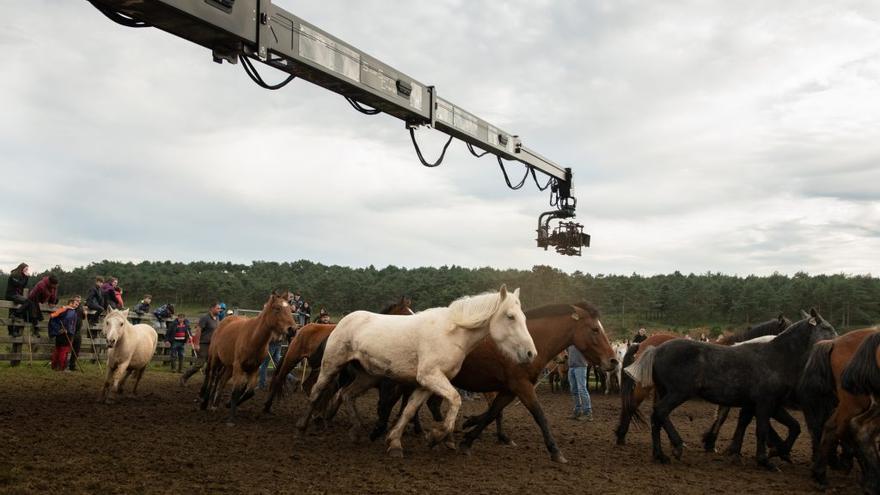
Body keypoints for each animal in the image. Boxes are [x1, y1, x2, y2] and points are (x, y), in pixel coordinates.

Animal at [199, 292, 296, 424]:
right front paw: (231, 419)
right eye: (277, 308)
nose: (293, 329)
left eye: (290, 309)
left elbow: (249, 392)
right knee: (211, 376)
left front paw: (229, 404)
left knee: (221, 380)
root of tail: (223, 322)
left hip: (229, 367)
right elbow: (235, 391)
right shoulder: (239, 366)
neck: (252, 338)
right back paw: (204, 402)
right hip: (215, 359)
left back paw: (215, 404)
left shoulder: (253, 369)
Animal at [298, 284, 536, 460]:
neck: (452, 334)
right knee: (316, 392)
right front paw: (437, 436)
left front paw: (395, 443)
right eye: (510, 316)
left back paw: (356, 431)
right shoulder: (430, 377)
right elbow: (455, 400)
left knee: (346, 394)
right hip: (331, 366)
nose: (531, 353)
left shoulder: (425, 384)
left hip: (367, 376)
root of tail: (342, 321)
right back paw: (302, 427)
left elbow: (409, 410)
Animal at [628, 310, 836, 468]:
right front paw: (765, 460)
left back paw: (660, 454)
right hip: (677, 393)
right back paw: (677, 446)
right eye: (826, 328)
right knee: (660, 412)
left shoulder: (768, 404)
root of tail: (656, 349)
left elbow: (793, 426)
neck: (775, 358)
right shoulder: (765, 403)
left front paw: (778, 451)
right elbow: (761, 429)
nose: (837, 343)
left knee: (656, 418)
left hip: (664, 392)